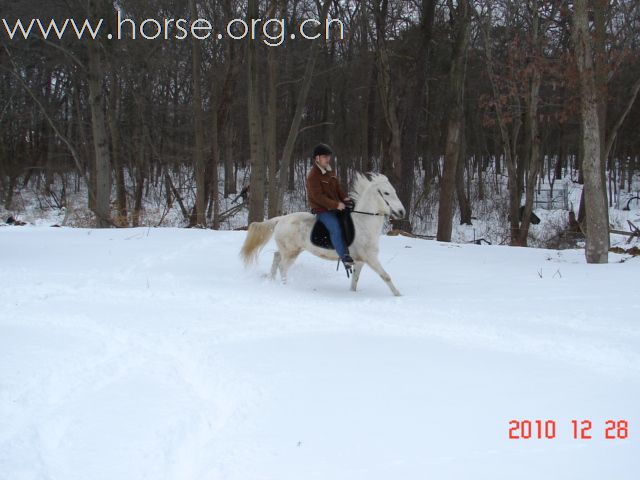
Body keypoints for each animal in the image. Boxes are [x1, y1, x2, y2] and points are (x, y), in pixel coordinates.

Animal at [240, 171, 404, 294]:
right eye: (386, 193)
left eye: (395, 191)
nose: (402, 212)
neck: (363, 223)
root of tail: (280, 219)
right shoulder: (370, 258)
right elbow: (386, 276)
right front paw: (398, 295)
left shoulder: (360, 261)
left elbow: (355, 281)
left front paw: (353, 293)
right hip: (291, 253)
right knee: (282, 267)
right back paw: (285, 286)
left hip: (289, 250)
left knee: (276, 257)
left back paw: (271, 280)